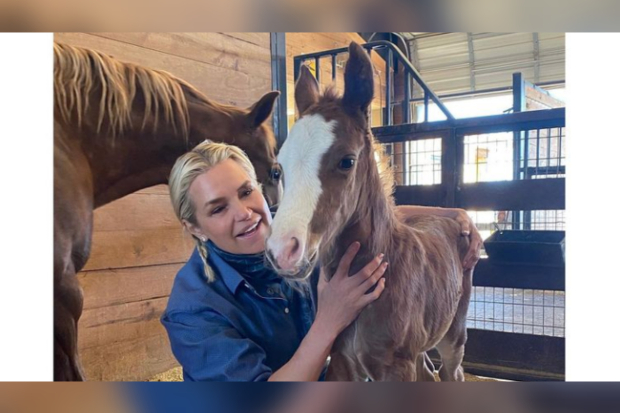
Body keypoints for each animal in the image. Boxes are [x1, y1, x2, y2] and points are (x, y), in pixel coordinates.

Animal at [264, 41, 472, 380]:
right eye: (279, 167)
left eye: (347, 160)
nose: (282, 251)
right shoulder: (341, 362)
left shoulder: (396, 369)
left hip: (453, 335)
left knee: (451, 372)